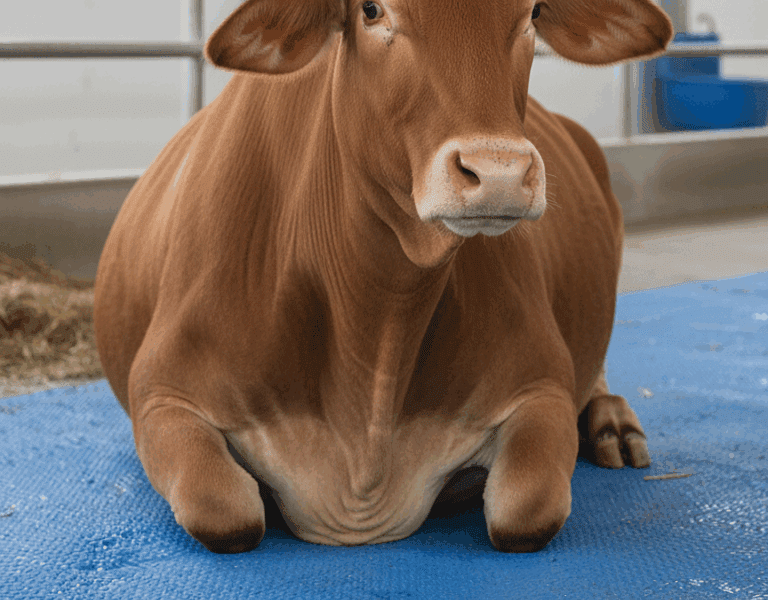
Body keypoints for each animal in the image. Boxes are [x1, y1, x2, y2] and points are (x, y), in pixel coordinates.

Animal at [94, 0, 672, 554]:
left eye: (532, 12)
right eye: (371, 10)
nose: (500, 174)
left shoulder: (542, 382)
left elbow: (527, 507)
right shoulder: (163, 392)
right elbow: (223, 509)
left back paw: (614, 425)